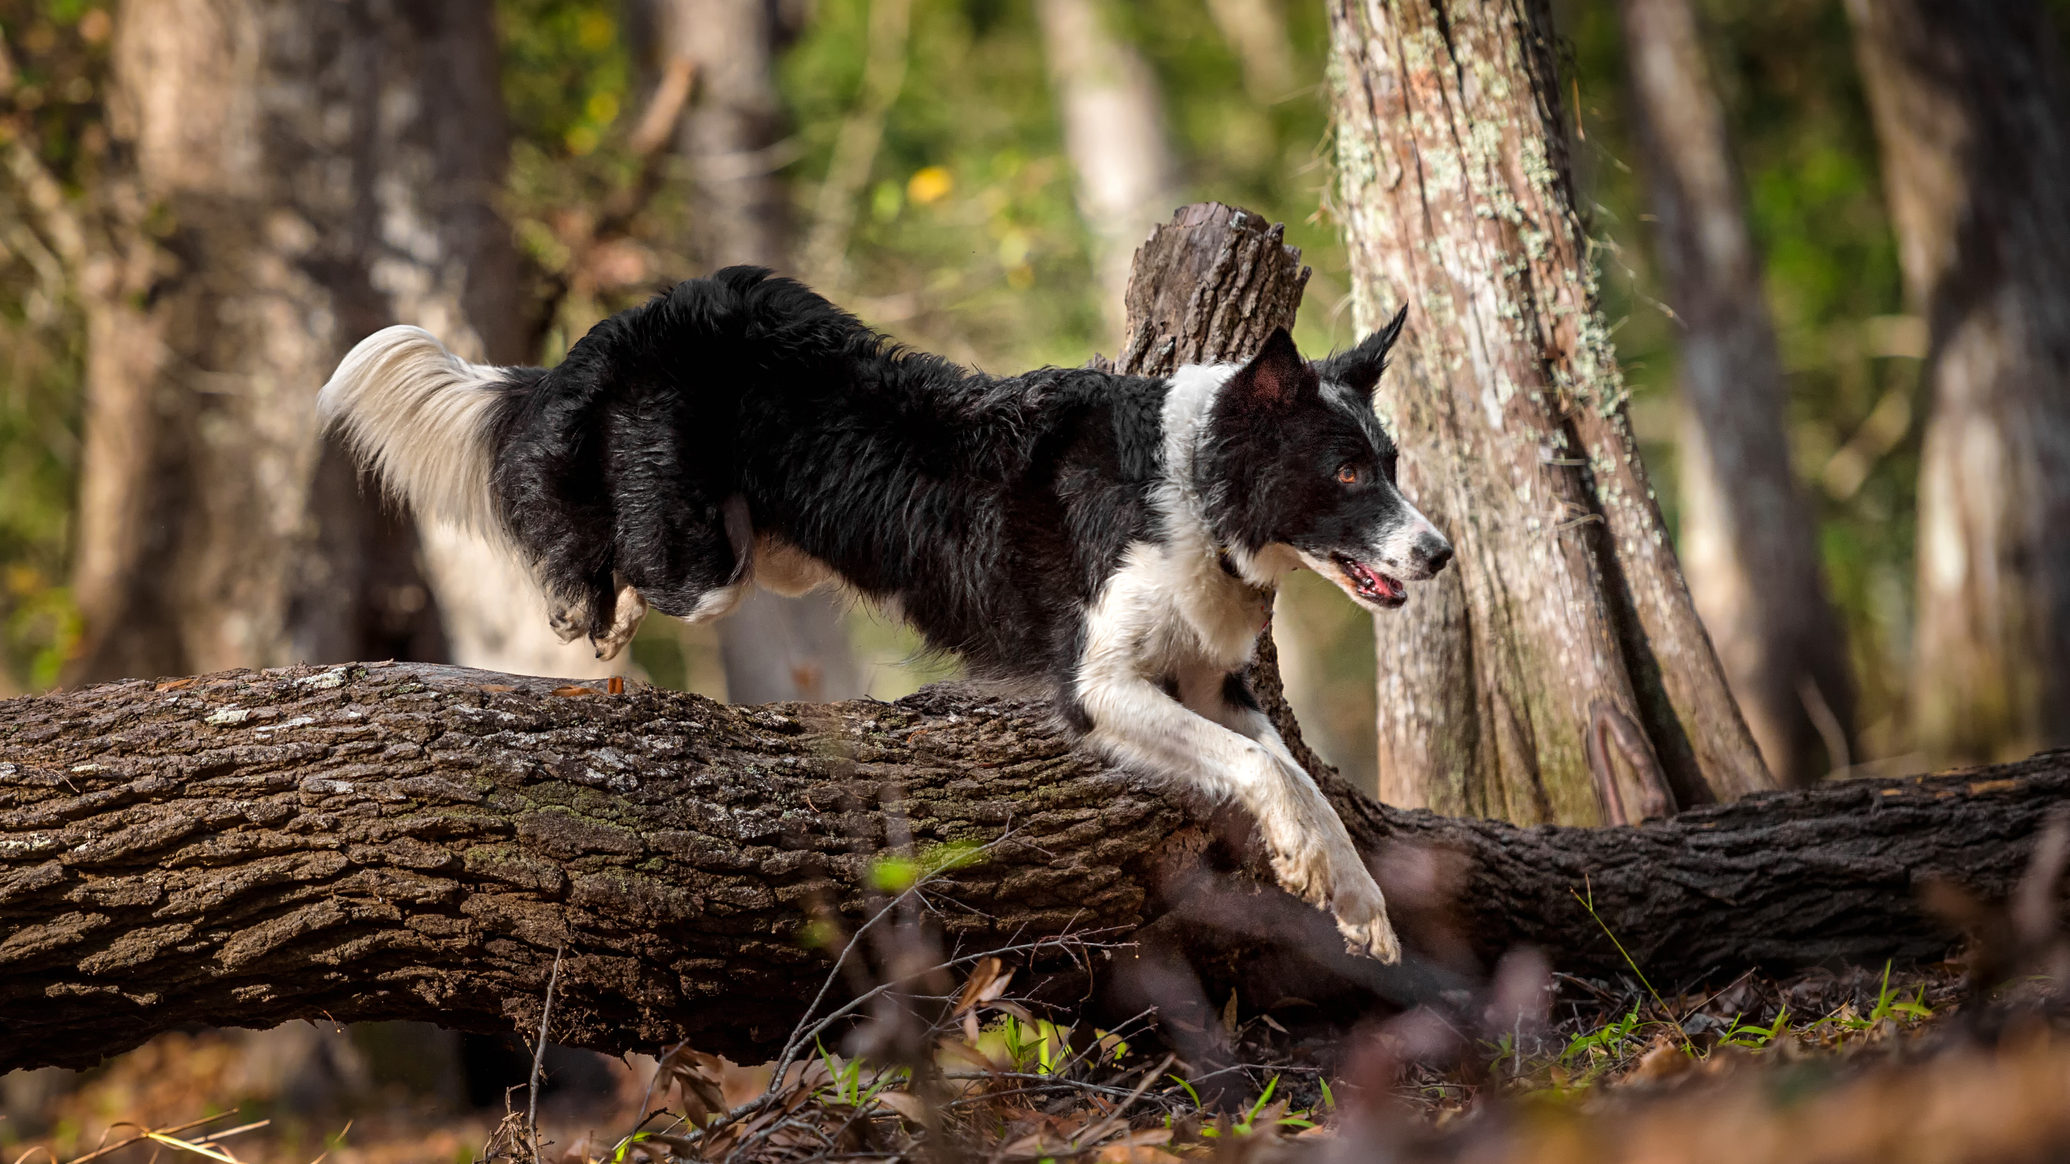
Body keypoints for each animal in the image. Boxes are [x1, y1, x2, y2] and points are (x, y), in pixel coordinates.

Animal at [327, 265, 1457, 961]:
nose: (1440, 553)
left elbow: (1296, 774)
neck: (1189, 483)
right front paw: (1318, 872)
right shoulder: (1097, 685)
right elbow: (1267, 771)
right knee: (610, 550)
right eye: (1346, 472)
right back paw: (586, 611)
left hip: (770, 553)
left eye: (1392, 464)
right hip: (703, 554)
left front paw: (1357, 905)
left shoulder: (1207, 683)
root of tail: (621, 330)